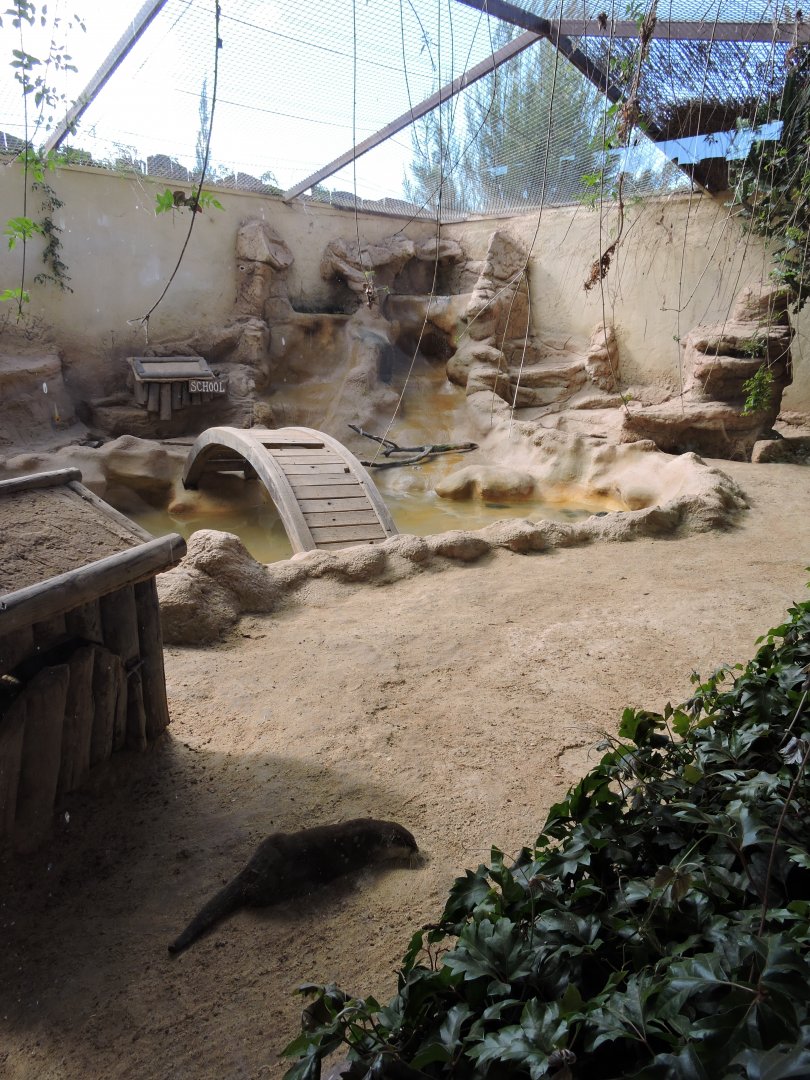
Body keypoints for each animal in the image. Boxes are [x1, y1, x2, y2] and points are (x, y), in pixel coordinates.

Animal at [168, 818, 418, 955]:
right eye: (408, 844)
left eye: (413, 839)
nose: (417, 850)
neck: (369, 836)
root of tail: (253, 870)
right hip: (282, 882)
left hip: (271, 840)